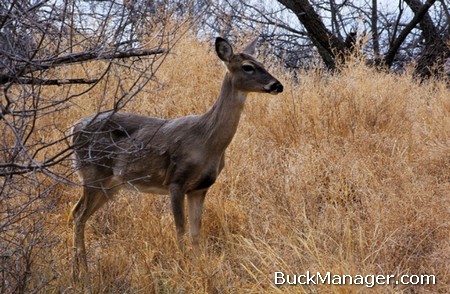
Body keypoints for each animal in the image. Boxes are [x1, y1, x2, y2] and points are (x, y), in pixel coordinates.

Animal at [69, 35, 282, 276]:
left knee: (79, 213)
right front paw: (183, 270)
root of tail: (74, 127)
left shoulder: (200, 188)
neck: (207, 140)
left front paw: (199, 270)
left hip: (112, 183)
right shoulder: (176, 181)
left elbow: (196, 233)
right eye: (248, 67)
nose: (278, 85)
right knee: (78, 213)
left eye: (262, 63)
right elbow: (180, 230)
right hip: (93, 172)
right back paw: (80, 271)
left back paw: (80, 267)